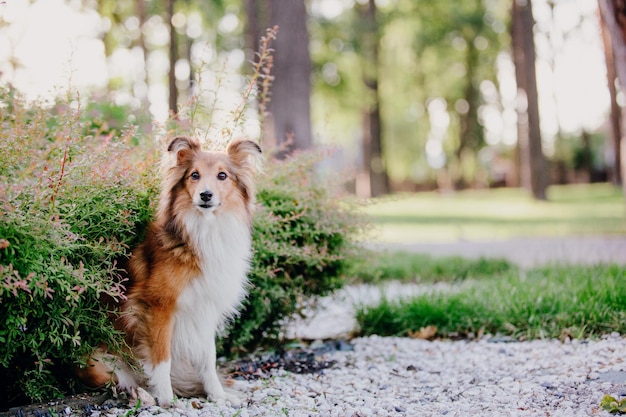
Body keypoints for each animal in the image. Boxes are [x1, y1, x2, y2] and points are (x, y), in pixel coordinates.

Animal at [77, 136, 260, 404]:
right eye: (194, 175)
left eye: (222, 175)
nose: (206, 195)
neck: (204, 229)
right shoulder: (158, 308)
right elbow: (161, 359)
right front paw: (166, 399)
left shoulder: (205, 310)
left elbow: (209, 360)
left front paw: (217, 396)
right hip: (94, 361)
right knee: (117, 381)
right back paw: (140, 393)